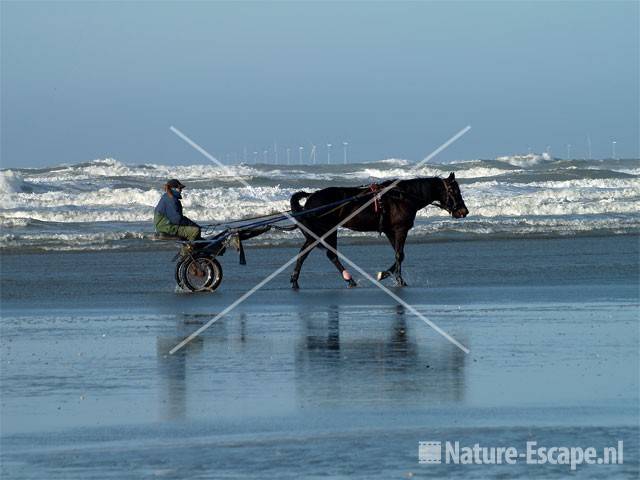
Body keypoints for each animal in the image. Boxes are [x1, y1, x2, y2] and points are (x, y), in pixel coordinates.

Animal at [290, 172, 470, 288]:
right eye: (454, 190)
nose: (464, 211)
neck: (403, 196)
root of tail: (310, 199)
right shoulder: (400, 229)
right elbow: (399, 255)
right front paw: (398, 280)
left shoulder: (391, 231)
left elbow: (399, 255)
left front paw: (384, 274)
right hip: (326, 231)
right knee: (330, 255)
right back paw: (349, 279)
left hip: (317, 234)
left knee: (304, 254)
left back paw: (295, 280)